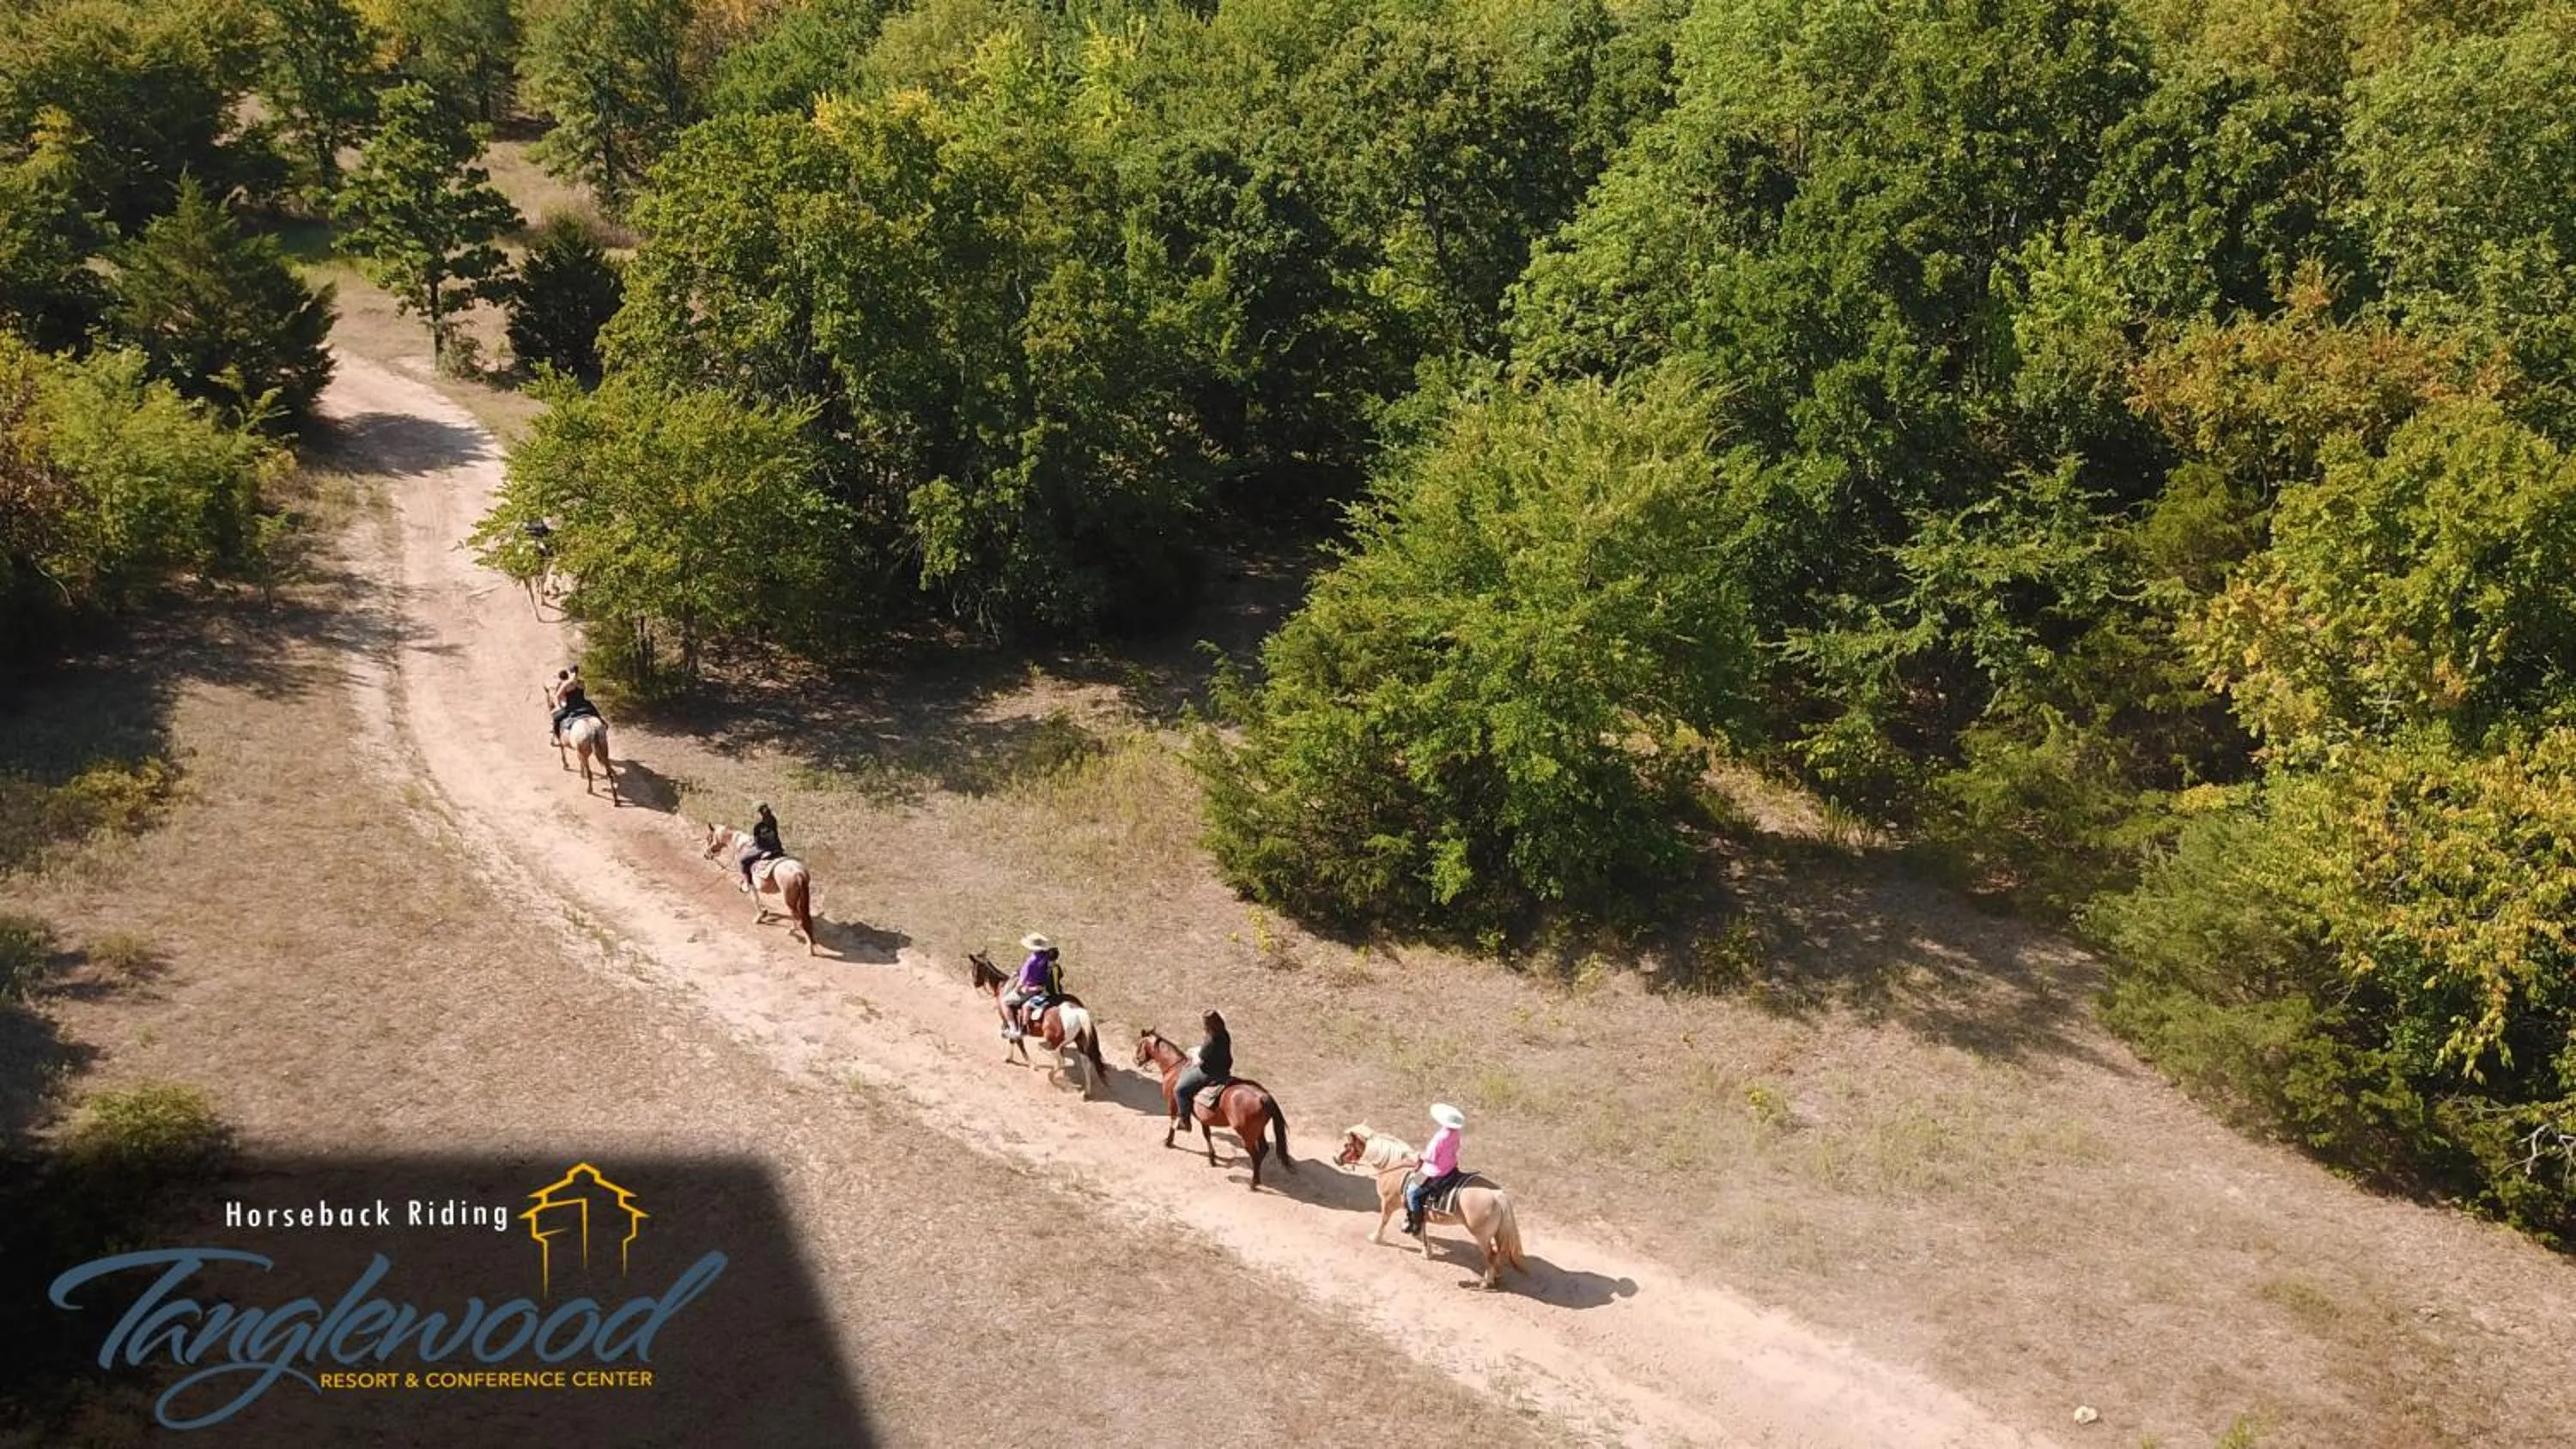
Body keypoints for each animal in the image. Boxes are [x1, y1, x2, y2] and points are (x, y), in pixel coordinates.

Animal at [700, 822, 818, 954]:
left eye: (709, 838)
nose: (706, 855)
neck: (741, 846)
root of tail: (799, 873)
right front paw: (765, 912)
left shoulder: (750, 882)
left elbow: (755, 899)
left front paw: (759, 917)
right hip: (796, 900)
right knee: (801, 918)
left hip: (789, 900)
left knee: (800, 920)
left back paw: (808, 948)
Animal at [967, 950, 1106, 1098]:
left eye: (974, 968)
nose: (975, 983)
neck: (1003, 987)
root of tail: (1078, 1012)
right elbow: (1013, 1040)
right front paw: (1009, 1058)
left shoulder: (1008, 1020)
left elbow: (1017, 1041)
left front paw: (1030, 1063)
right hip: (1080, 1042)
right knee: (1086, 1063)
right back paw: (1086, 1092)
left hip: (1055, 1043)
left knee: (1061, 1061)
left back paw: (1051, 1077)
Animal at [1133, 1029, 1293, 1191]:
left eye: (1140, 1043)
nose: (1136, 1060)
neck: (1175, 1069)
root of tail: (1263, 1096)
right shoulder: (1204, 1118)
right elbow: (1207, 1135)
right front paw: (1212, 1158)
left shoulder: (1173, 1106)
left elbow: (1172, 1124)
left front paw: (1168, 1142)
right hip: (1258, 1131)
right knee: (1264, 1149)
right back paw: (1257, 1179)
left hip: (1246, 1136)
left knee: (1255, 1155)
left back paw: (1253, 1183)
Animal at [1336, 1125, 1526, 1290]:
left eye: (1347, 1144)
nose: (1336, 1159)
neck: (1394, 1167)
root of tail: (1497, 1195)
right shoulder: (1419, 1211)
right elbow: (1422, 1231)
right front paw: (1426, 1251)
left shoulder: (1388, 1203)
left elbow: (1384, 1221)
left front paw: (1375, 1238)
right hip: (1495, 1233)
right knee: (1499, 1253)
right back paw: (1496, 1275)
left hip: (1481, 1235)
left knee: (1491, 1255)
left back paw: (1486, 1282)